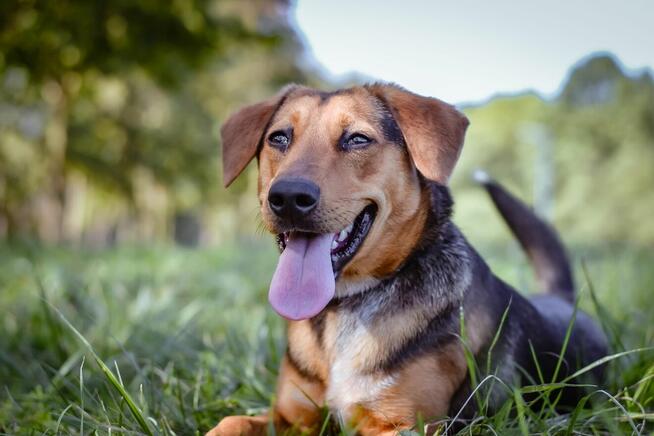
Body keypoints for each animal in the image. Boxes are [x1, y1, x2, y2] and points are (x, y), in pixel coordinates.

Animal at [209, 83, 608, 434]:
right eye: (278, 138)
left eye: (357, 139)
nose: (289, 197)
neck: (345, 307)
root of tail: (560, 298)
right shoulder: (292, 417)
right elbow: (231, 422)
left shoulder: (404, 425)